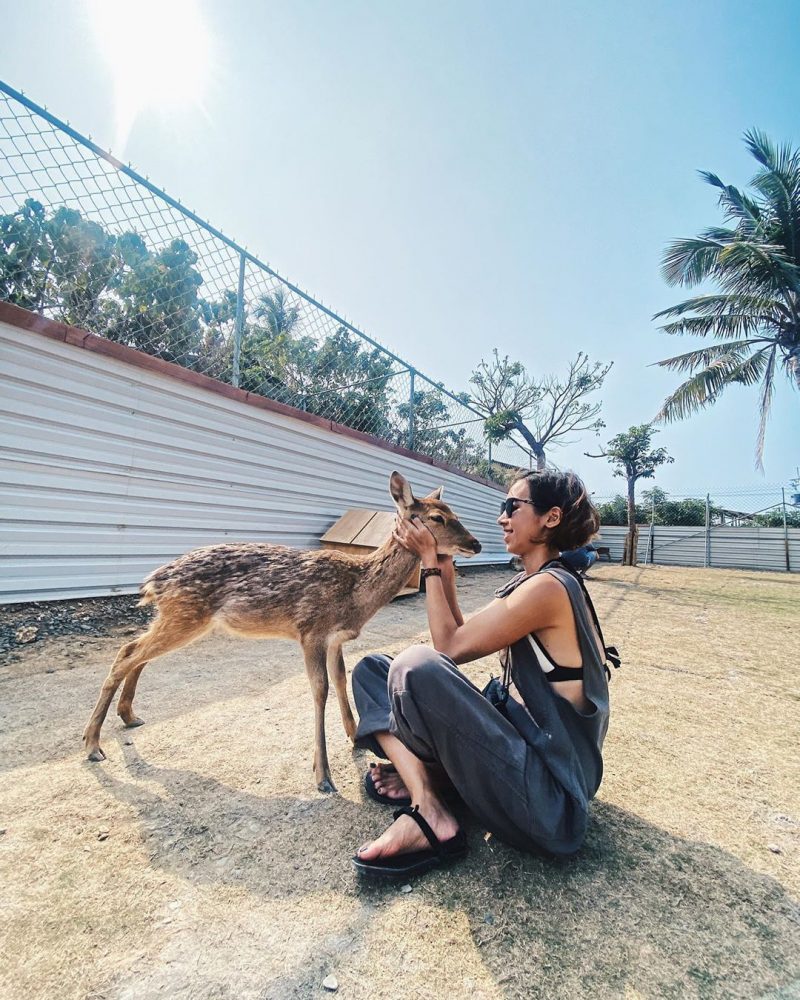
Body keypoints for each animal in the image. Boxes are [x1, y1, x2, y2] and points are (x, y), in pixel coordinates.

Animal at [81, 472, 482, 792]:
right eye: (438, 517)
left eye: (455, 513)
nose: (476, 543)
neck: (356, 592)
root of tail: (153, 582)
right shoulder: (311, 630)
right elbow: (319, 690)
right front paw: (323, 776)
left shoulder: (335, 638)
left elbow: (340, 678)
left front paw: (355, 735)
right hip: (186, 615)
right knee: (128, 653)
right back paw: (92, 744)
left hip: (177, 617)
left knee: (133, 649)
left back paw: (128, 716)